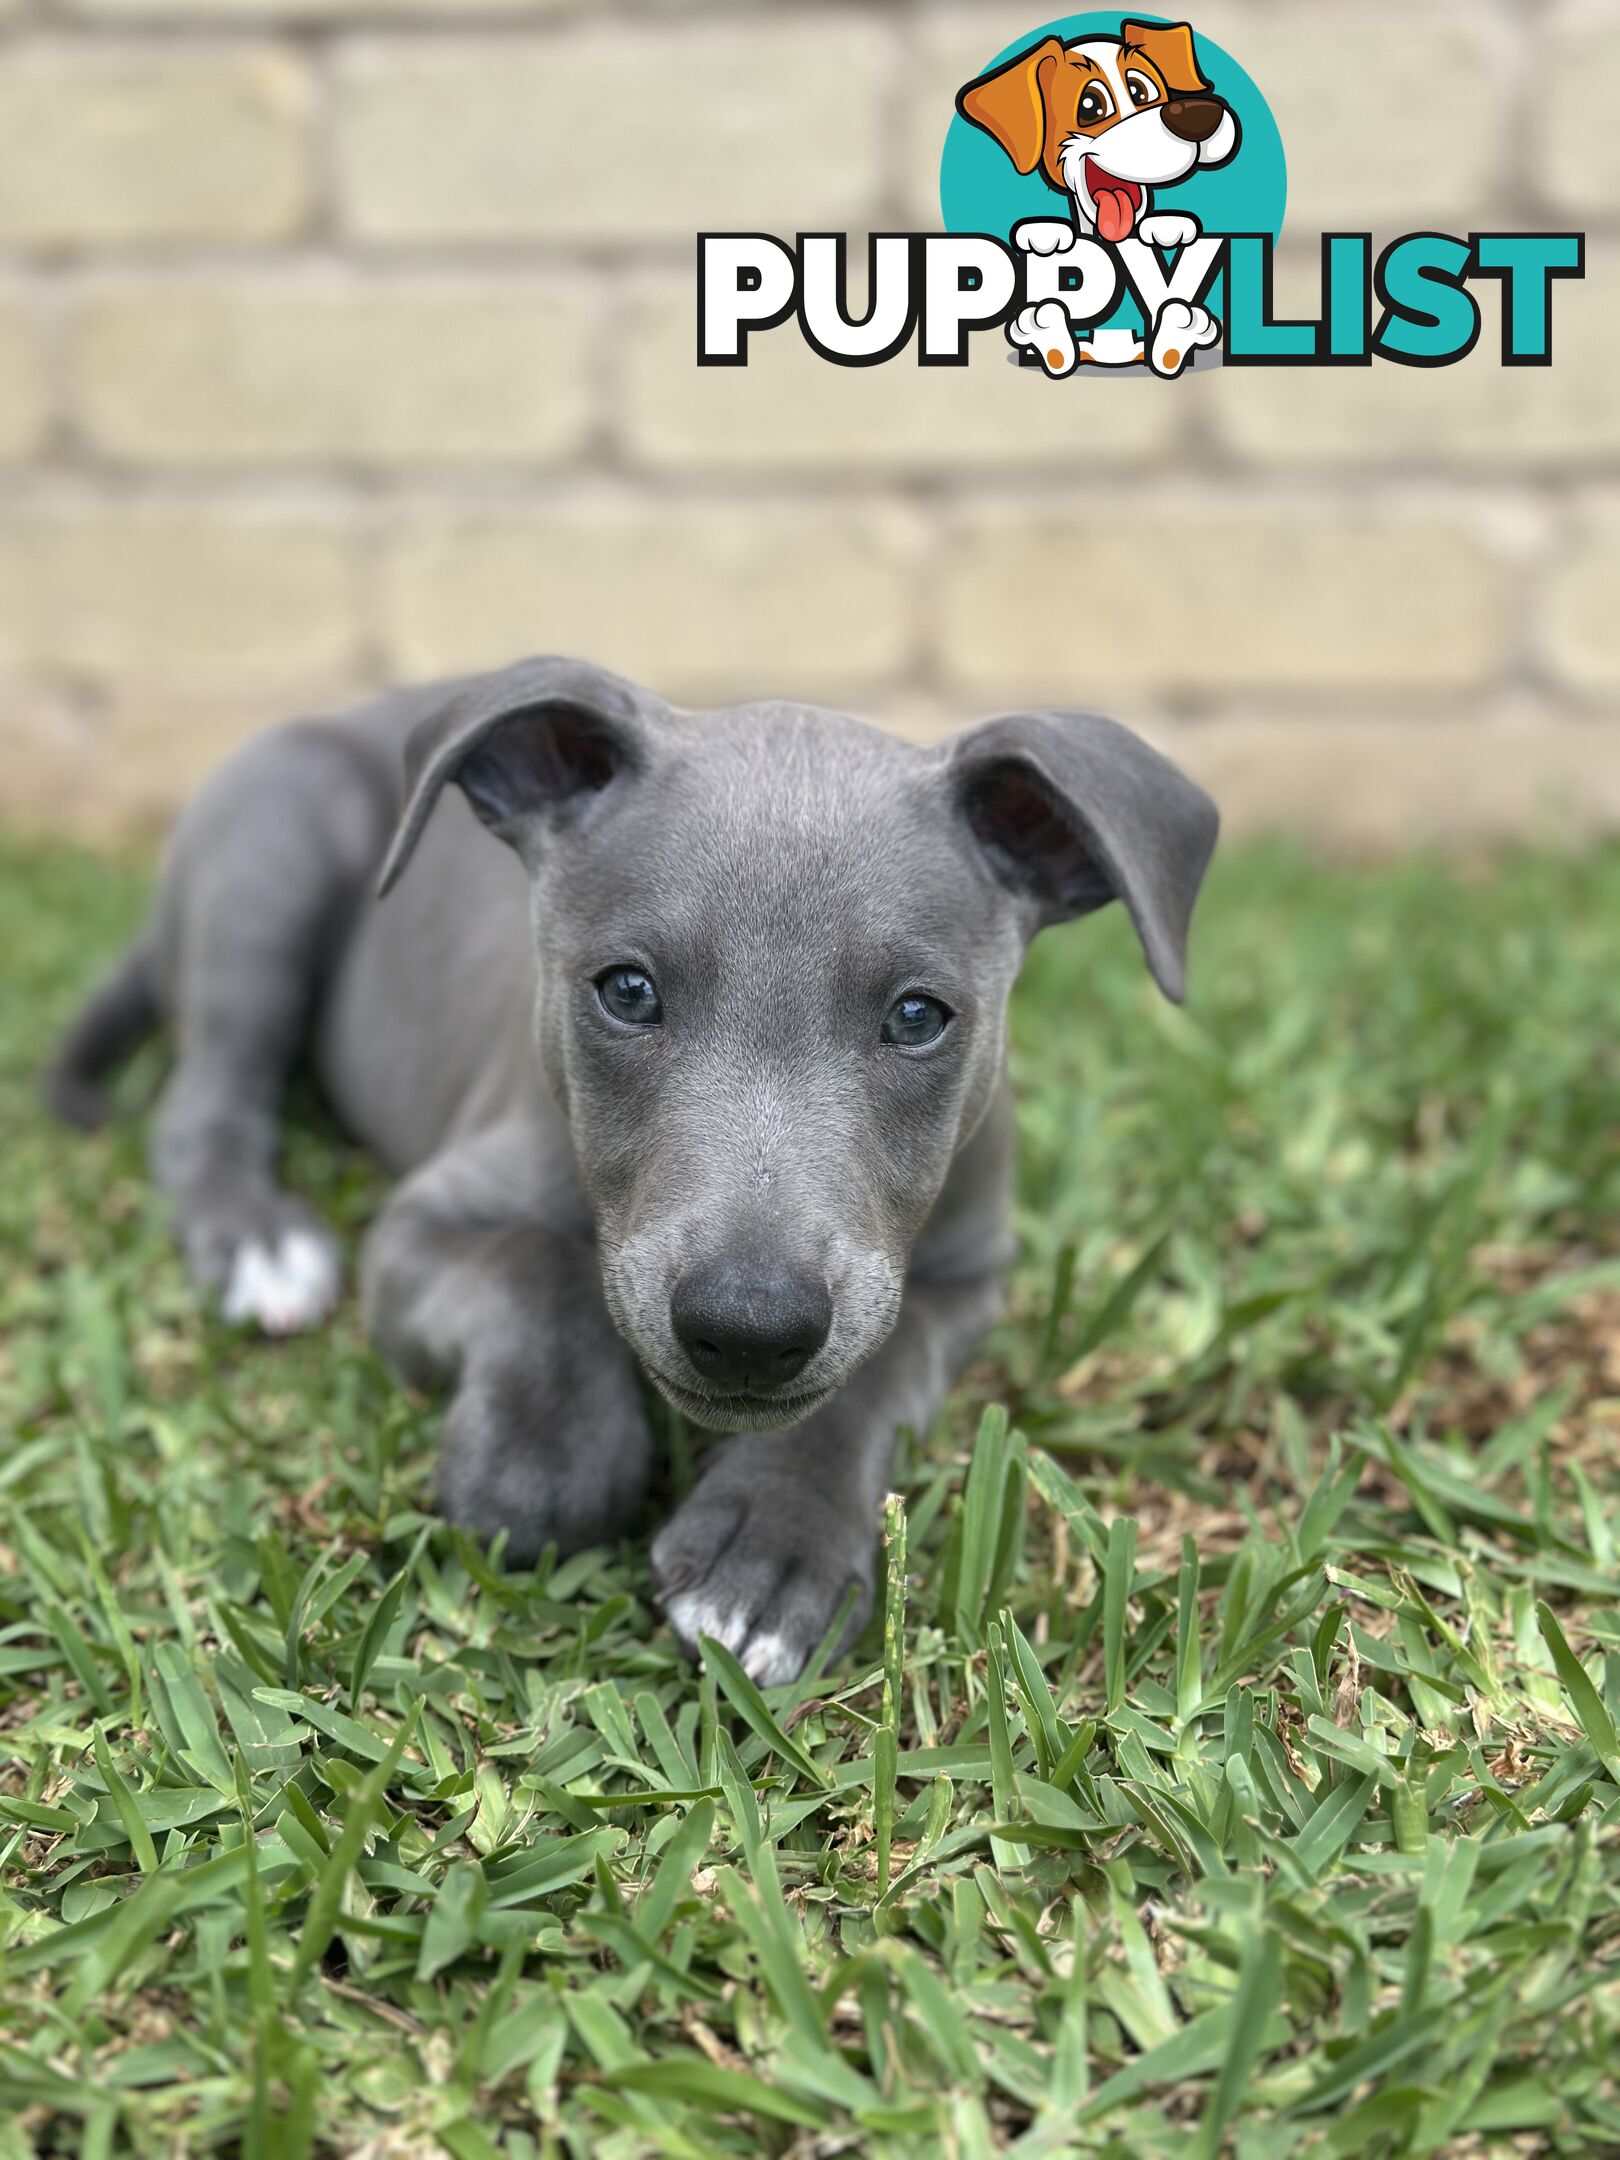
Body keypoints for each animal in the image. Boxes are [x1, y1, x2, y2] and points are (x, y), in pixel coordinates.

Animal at [47, 656, 1218, 1684]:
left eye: (921, 1017)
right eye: (628, 991)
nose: (750, 1328)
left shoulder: (965, 1275)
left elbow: (874, 1372)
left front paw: (773, 1545)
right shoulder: (424, 1223)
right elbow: (536, 1270)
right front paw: (543, 1460)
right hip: (273, 854)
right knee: (204, 1103)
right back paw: (260, 1239)